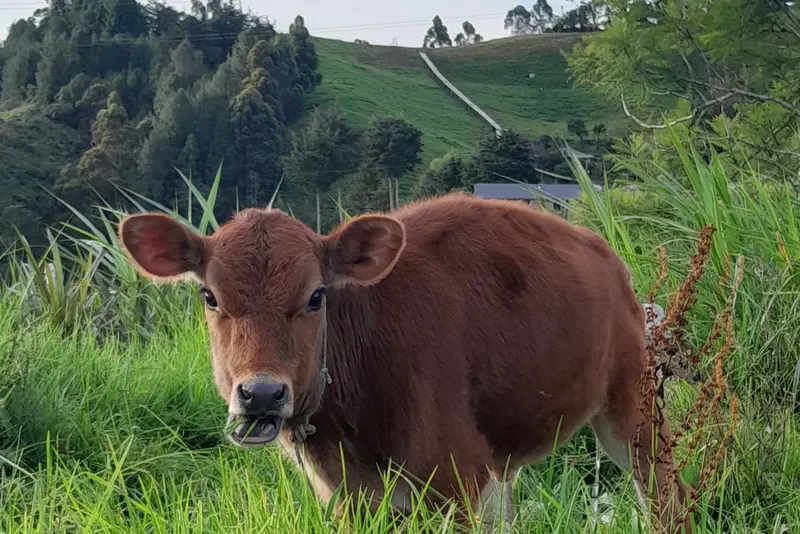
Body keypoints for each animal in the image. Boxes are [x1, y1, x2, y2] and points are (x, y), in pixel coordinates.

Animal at [118, 192, 694, 534]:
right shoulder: (349, 500)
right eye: (209, 296)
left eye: (316, 296)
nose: (261, 393)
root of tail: (605, 252)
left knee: (667, 495)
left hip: (633, 406)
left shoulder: (455, 479)